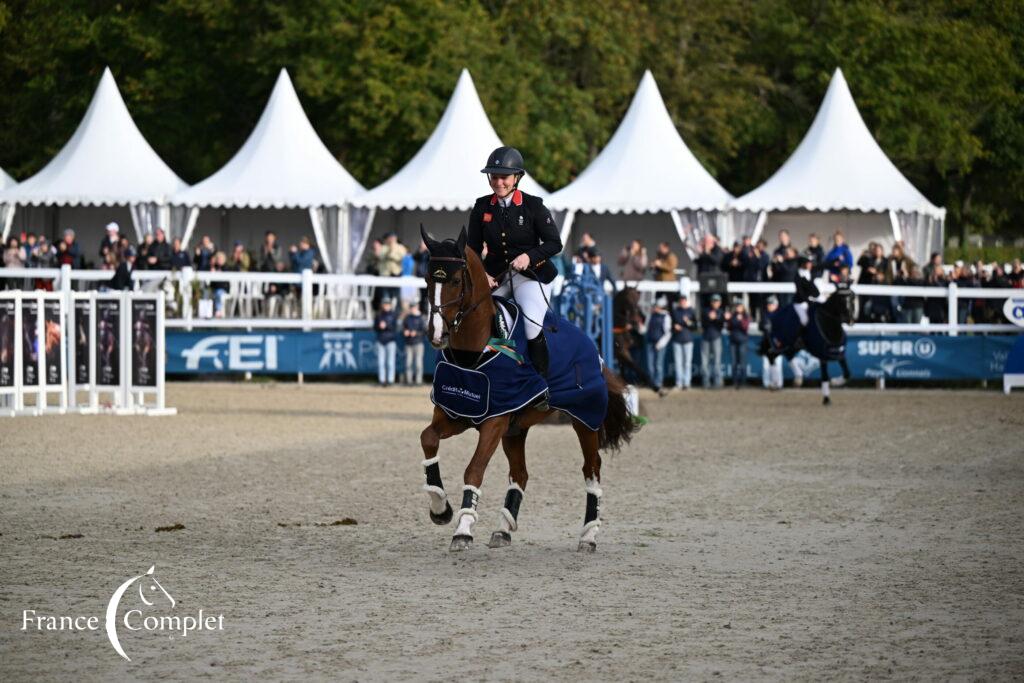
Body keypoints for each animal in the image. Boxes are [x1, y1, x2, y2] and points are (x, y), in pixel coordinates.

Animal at [419, 227, 634, 552]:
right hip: (515, 430)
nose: (436, 334)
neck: (473, 353)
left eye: (456, 281)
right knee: (520, 473)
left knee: (591, 470)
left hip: (585, 422)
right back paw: (503, 529)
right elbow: (428, 438)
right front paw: (440, 508)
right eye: (428, 280)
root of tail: (592, 347)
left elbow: (474, 469)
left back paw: (589, 535)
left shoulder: (494, 422)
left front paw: (464, 529)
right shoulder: (458, 413)